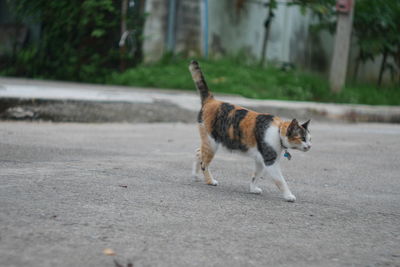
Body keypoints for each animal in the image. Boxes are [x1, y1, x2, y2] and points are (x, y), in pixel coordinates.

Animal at [189, 60, 310, 203]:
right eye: (302, 138)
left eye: (310, 138)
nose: (309, 146)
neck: (277, 130)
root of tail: (211, 100)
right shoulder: (270, 162)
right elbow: (281, 181)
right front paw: (288, 195)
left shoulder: (260, 160)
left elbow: (255, 175)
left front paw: (253, 189)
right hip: (212, 143)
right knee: (204, 163)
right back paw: (210, 181)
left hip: (208, 142)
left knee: (198, 152)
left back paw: (195, 175)